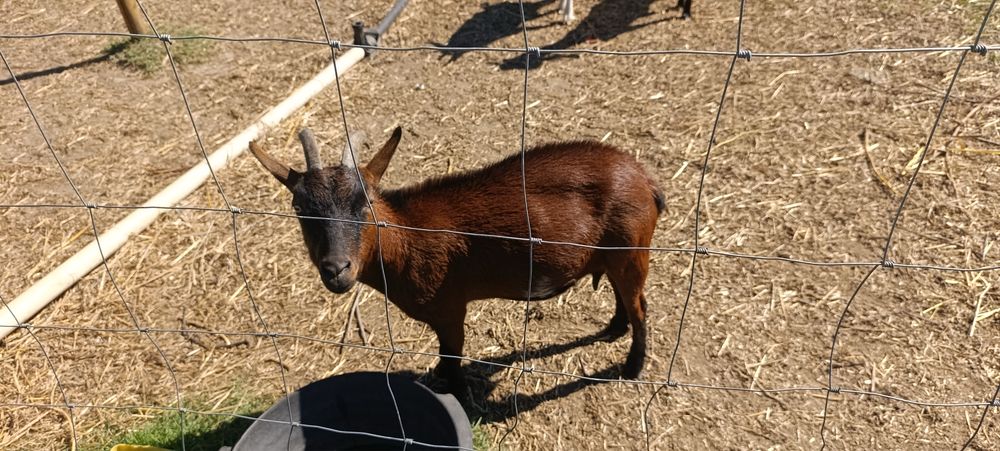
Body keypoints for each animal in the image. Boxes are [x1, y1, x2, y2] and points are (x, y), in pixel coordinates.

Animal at [249, 127, 665, 395]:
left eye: (365, 203)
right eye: (299, 208)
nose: (336, 269)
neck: (407, 237)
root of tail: (645, 179)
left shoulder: (450, 310)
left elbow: (452, 360)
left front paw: (458, 396)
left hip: (632, 252)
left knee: (641, 305)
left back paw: (632, 366)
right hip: (616, 256)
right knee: (624, 296)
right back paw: (613, 329)